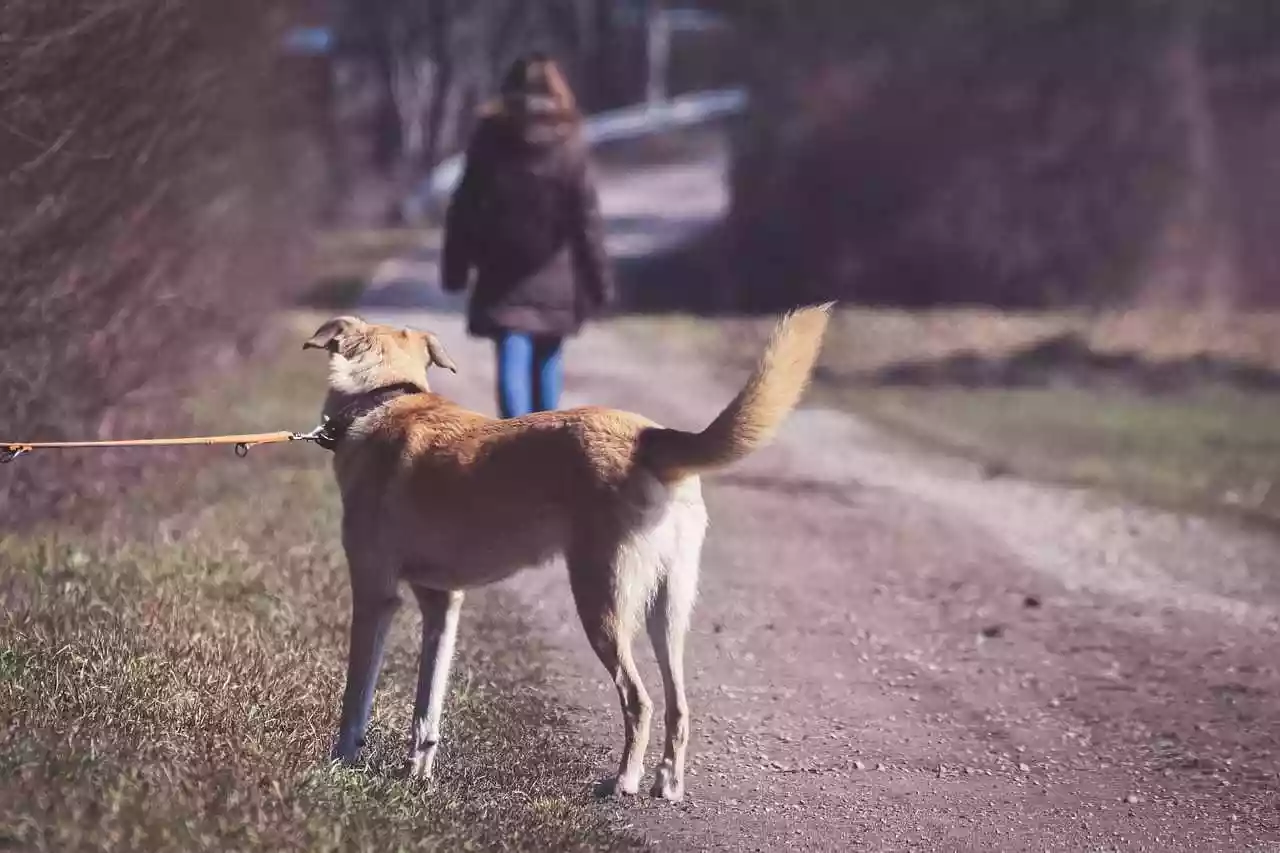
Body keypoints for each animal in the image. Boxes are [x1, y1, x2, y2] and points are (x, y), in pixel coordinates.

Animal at [304, 303, 834, 799]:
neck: (385, 398)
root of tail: (649, 436)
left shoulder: (375, 596)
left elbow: (356, 698)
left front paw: (340, 765)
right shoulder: (443, 604)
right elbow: (427, 707)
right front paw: (418, 774)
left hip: (602, 600)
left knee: (639, 700)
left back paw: (623, 781)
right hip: (668, 609)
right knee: (678, 705)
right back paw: (667, 784)